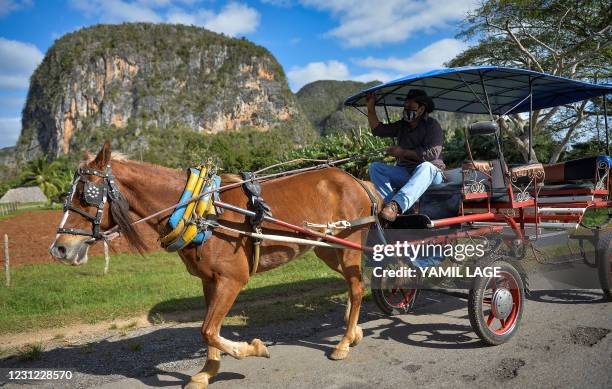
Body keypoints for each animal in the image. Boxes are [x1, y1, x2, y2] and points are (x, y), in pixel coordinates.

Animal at [49, 142, 382, 388]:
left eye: (86, 195)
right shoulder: (209, 280)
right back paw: (353, 331)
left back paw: (343, 342)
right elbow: (209, 329)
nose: (59, 249)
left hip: (348, 244)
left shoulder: (232, 279)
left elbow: (209, 329)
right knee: (355, 284)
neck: (199, 209)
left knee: (356, 287)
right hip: (328, 249)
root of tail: (356, 180)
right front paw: (207, 371)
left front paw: (252, 348)